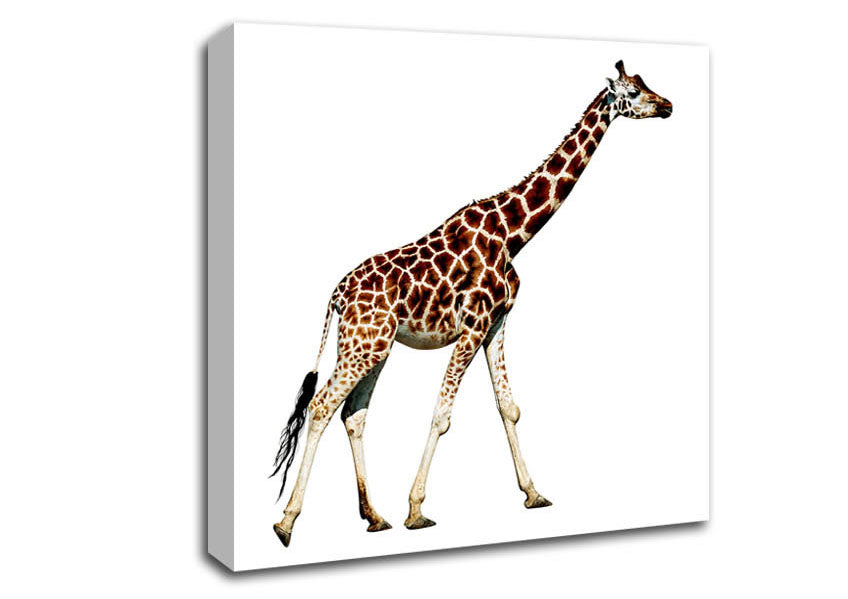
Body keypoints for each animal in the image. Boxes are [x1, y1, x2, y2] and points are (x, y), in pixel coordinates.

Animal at [271, 60, 673, 547]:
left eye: (648, 85)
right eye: (633, 92)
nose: (668, 105)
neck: (513, 233)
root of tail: (336, 294)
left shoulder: (498, 322)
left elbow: (508, 407)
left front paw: (534, 493)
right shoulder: (473, 325)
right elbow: (442, 415)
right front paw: (417, 510)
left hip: (373, 346)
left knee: (353, 413)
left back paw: (374, 516)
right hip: (362, 345)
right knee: (321, 406)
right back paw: (287, 522)